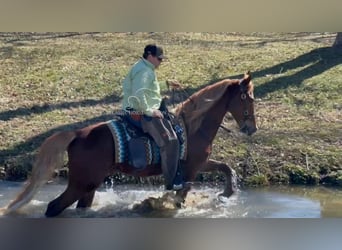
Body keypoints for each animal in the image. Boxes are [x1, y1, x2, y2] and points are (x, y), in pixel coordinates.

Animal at [0, 71, 256, 216]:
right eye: (247, 98)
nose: (251, 129)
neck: (194, 128)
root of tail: (78, 133)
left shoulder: (199, 164)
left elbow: (226, 167)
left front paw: (227, 192)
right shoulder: (191, 170)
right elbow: (180, 197)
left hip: (89, 185)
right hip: (81, 183)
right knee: (54, 207)